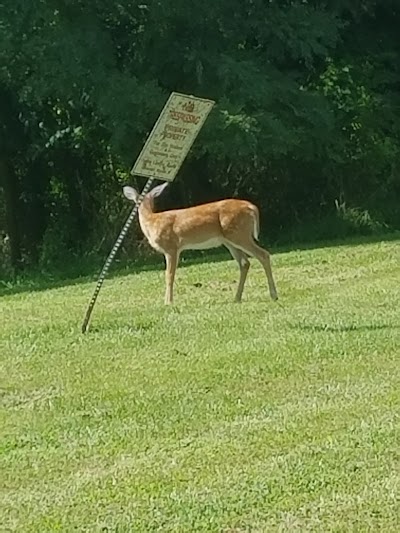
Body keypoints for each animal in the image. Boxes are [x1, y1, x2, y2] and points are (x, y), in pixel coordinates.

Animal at [122, 183, 278, 306]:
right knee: (245, 263)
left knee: (263, 255)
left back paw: (273, 295)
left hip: (240, 234)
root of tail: (252, 207)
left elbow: (169, 275)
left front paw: (168, 302)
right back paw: (237, 298)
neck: (152, 221)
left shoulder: (171, 247)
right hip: (230, 240)